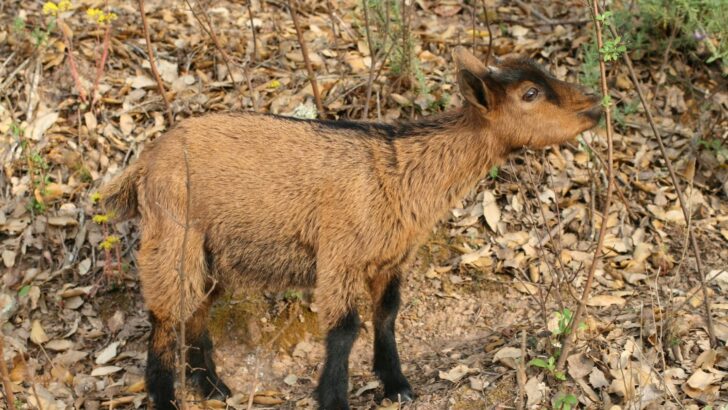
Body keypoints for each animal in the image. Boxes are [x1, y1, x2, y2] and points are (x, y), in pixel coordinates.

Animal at [100, 46, 601, 410]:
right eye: (530, 93)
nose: (594, 104)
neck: (398, 171)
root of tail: (144, 163)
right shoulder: (339, 254)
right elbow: (344, 329)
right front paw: (335, 399)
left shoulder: (393, 258)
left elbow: (386, 315)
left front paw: (396, 384)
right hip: (174, 233)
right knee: (166, 316)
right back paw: (168, 397)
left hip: (212, 250)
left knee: (197, 309)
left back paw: (213, 386)